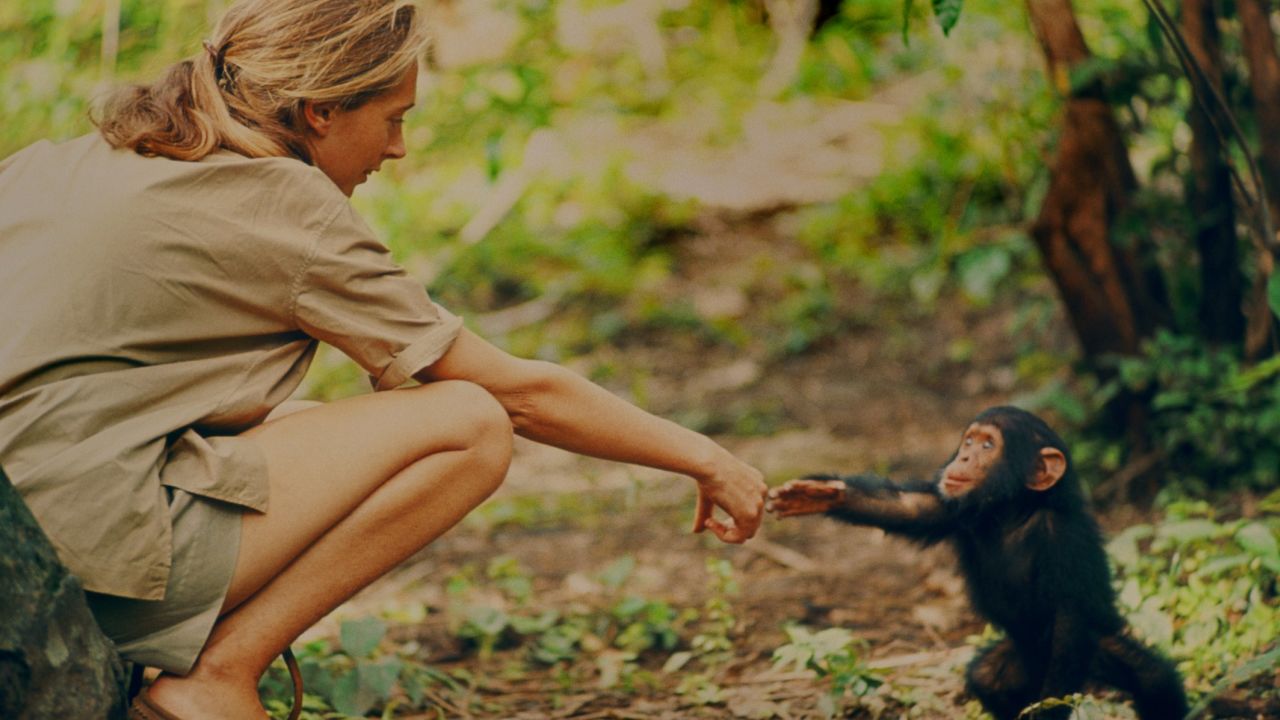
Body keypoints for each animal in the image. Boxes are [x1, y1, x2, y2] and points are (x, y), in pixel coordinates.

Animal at [767, 406, 1189, 720]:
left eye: (989, 445)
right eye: (970, 440)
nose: (965, 455)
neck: (1012, 512)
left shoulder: (1065, 542)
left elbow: (1069, 619)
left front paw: (1049, 711)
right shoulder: (952, 508)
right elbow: (907, 507)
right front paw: (819, 494)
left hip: (1097, 649)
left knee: (1155, 681)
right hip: (1019, 659)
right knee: (989, 680)